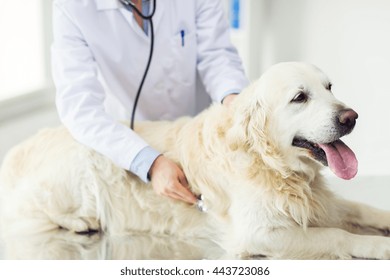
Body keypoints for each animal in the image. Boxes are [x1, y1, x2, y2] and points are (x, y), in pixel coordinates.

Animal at [0, 62, 390, 260]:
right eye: (299, 97)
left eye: (329, 87)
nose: (351, 117)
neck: (270, 164)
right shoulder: (257, 233)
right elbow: (337, 236)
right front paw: (379, 246)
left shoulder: (320, 201)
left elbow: (362, 210)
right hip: (82, 163)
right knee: (30, 216)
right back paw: (81, 222)